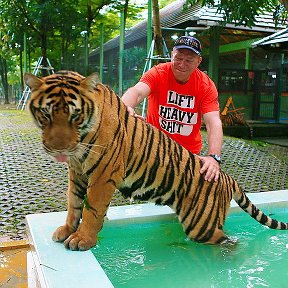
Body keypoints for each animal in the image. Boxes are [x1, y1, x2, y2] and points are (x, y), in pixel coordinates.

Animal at [24, 71, 288, 251]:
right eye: (46, 113)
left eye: (75, 115)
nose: (59, 148)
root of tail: (226, 177)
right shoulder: (77, 172)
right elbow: (73, 205)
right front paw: (67, 230)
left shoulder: (102, 175)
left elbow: (91, 210)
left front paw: (82, 239)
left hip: (201, 225)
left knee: (228, 241)